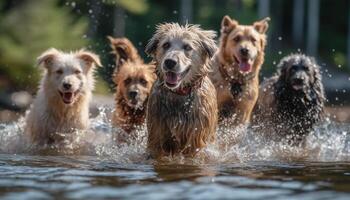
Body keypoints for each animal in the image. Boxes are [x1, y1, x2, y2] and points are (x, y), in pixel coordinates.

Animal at [144, 23, 216, 158]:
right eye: (166, 44)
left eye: (187, 47)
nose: (170, 62)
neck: (179, 93)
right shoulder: (156, 133)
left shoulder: (196, 136)